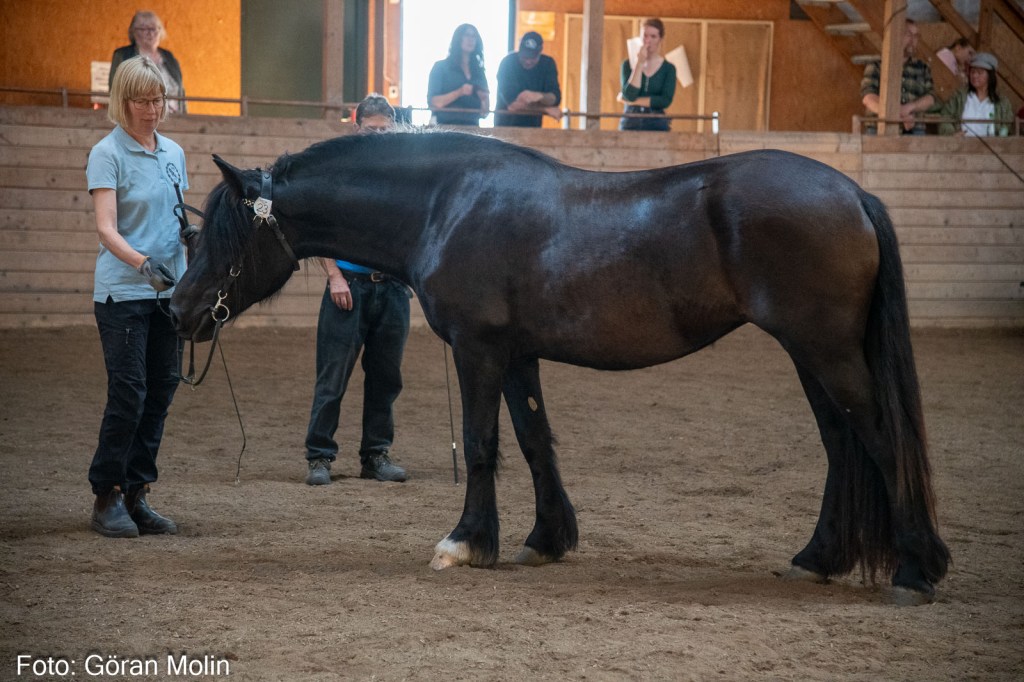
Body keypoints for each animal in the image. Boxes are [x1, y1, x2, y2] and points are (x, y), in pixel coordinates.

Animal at [169, 130, 950, 604]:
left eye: (223, 234)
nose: (178, 308)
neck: (447, 204)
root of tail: (853, 194)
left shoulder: (479, 349)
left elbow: (483, 444)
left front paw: (464, 543)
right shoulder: (518, 354)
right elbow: (534, 441)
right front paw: (545, 540)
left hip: (825, 351)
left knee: (881, 440)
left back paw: (917, 569)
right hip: (812, 356)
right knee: (843, 446)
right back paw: (819, 558)